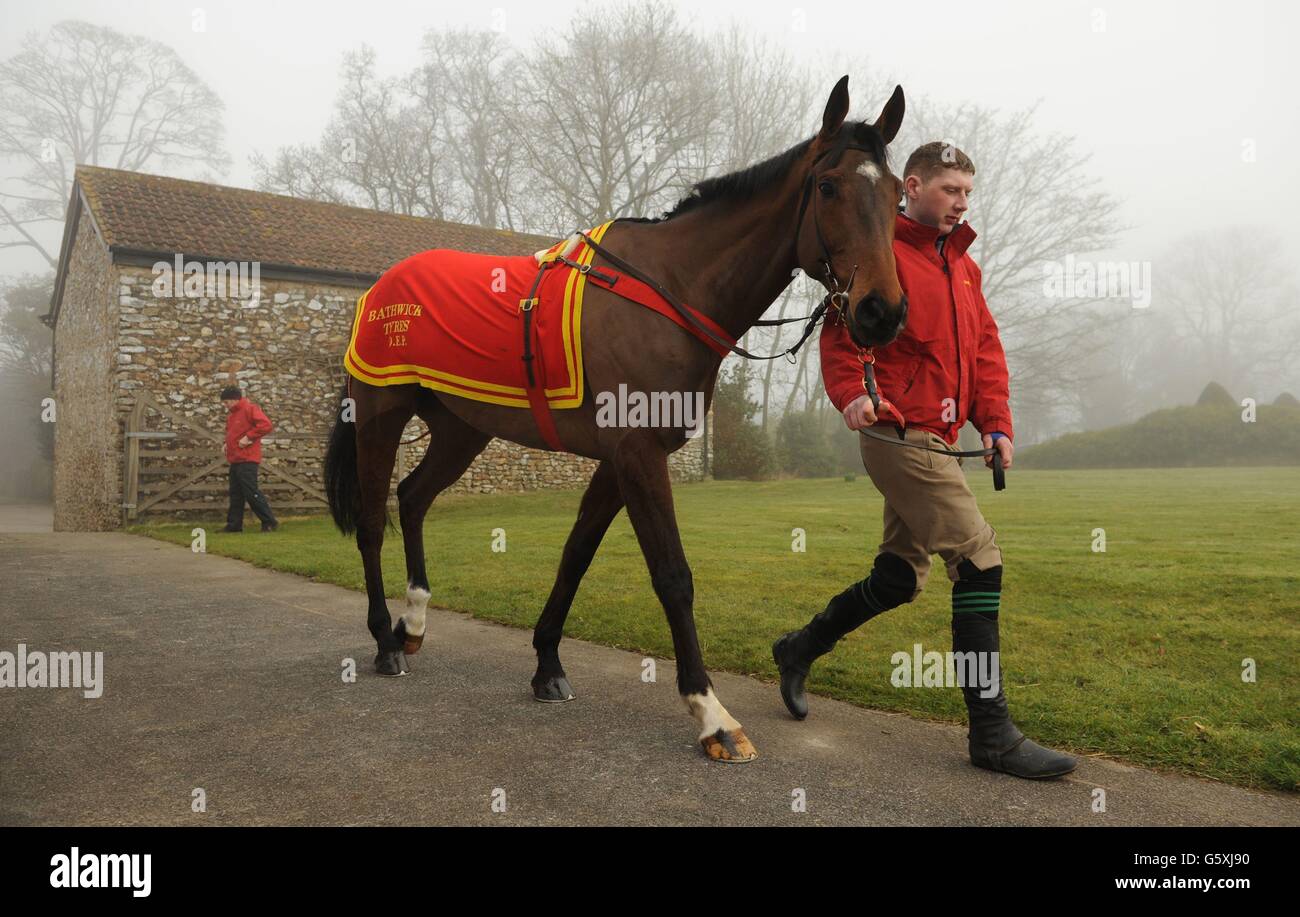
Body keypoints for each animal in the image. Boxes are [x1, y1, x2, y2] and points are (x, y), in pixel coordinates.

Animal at [324, 76, 909, 763]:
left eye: (896, 196)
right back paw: (385, 642)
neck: (670, 291)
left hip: (463, 428)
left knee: (414, 497)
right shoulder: (637, 454)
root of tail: (379, 289)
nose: (882, 312)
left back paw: (413, 621)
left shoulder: (618, 458)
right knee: (372, 521)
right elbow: (673, 576)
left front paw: (547, 662)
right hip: (378, 416)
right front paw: (711, 715)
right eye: (829, 187)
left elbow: (576, 553)